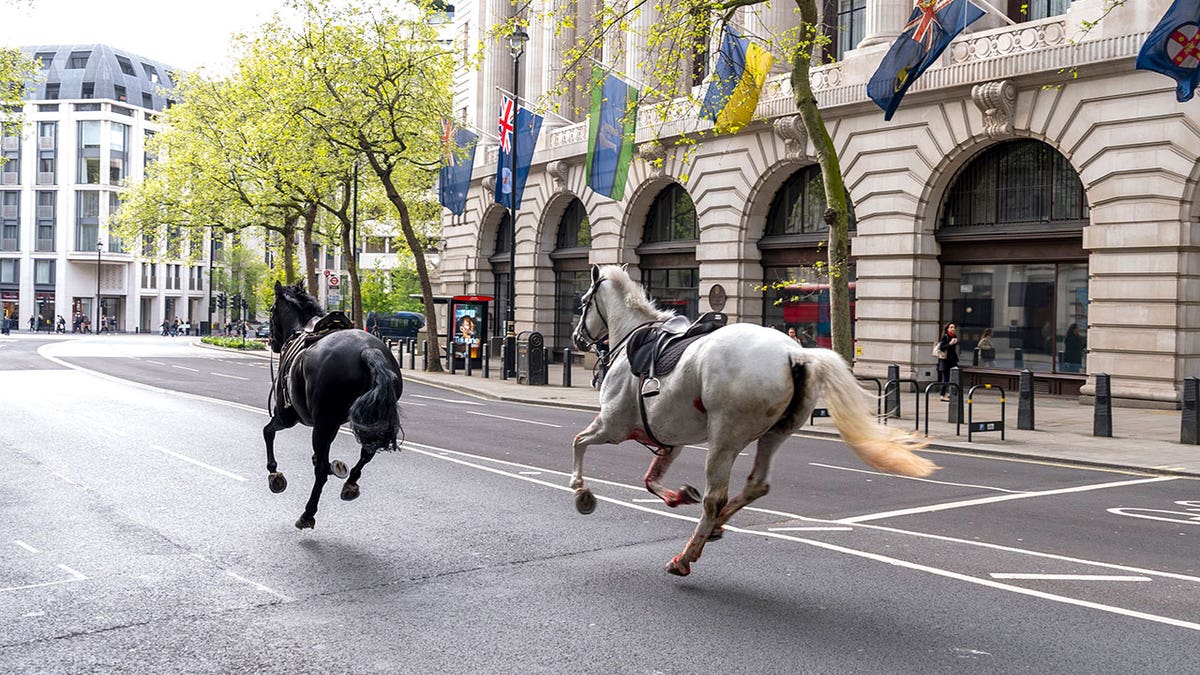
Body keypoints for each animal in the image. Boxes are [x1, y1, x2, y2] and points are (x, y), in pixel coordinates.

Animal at [264, 278, 403, 526]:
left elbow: (268, 432)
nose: (271, 342)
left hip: (320, 423)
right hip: (366, 420)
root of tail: (368, 351)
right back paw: (350, 483)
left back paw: (308, 513)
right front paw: (335, 467)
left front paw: (274, 474)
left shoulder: (287, 416)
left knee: (320, 472)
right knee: (367, 452)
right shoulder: (334, 423)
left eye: (272, 310)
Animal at [571, 263, 936, 571]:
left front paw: (580, 490)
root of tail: (794, 352)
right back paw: (715, 527)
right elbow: (651, 478)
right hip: (774, 433)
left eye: (584, 303)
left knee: (715, 497)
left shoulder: (613, 425)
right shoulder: (669, 438)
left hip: (724, 437)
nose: (576, 338)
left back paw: (686, 556)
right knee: (755, 485)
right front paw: (677, 495)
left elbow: (579, 442)